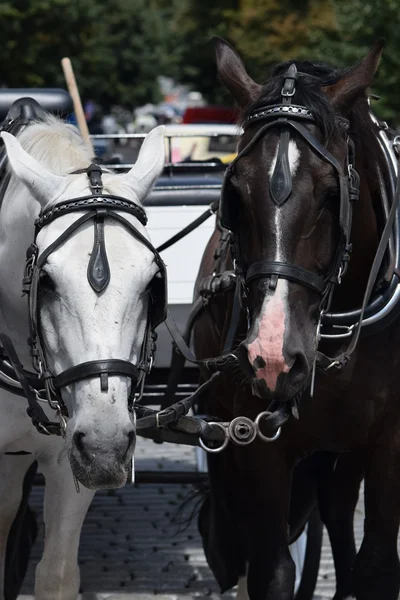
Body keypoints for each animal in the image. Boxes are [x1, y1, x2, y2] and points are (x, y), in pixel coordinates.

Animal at [193, 38, 400, 600]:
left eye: (332, 194)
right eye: (233, 195)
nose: (272, 356)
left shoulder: (388, 443)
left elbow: (377, 566)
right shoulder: (257, 444)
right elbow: (271, 569)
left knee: (337, 513)